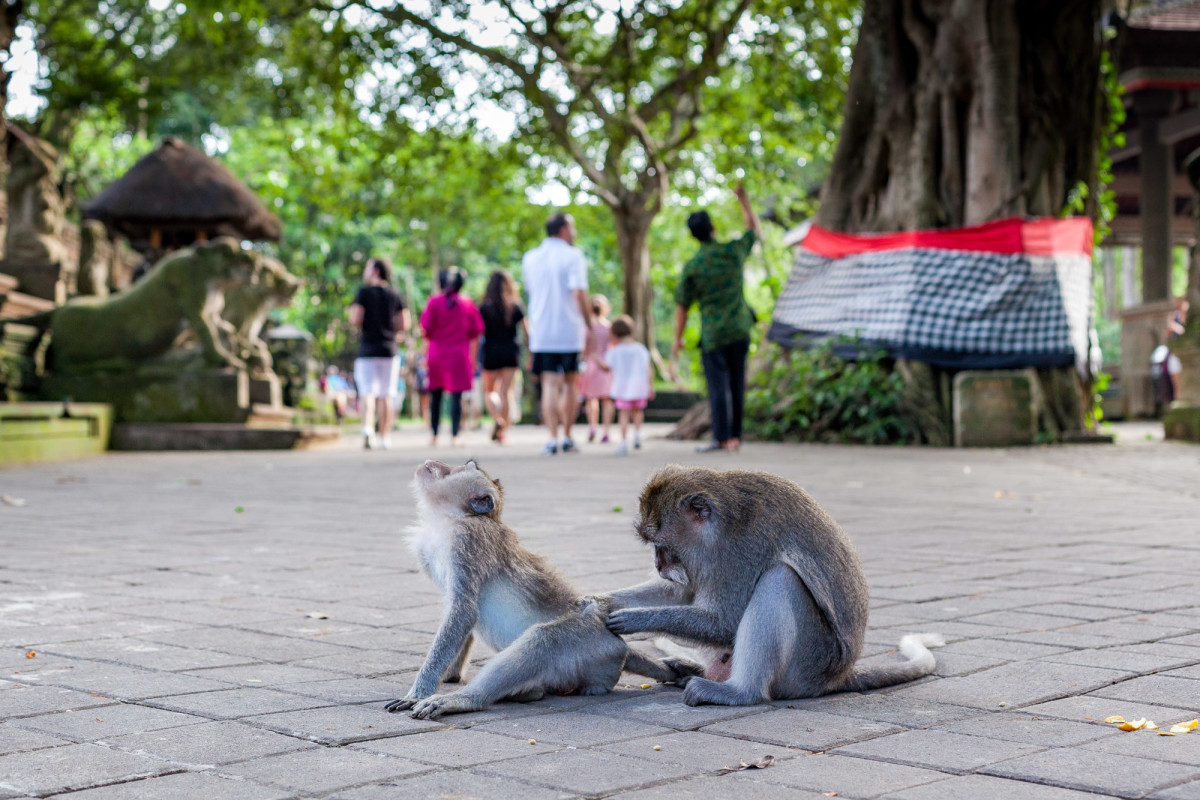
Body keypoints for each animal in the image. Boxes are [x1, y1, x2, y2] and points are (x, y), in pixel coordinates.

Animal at [388, 455, 700, 719]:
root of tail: (614, 638)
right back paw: (526, 692)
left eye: (457, 470)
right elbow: (462, 616)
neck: (449, 518)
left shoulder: (468, 540)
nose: (435, 463)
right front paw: (450, 674)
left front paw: (420, 691)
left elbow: (463, 610)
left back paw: (467, 699)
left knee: (542, 641)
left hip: (592, 647)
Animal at [604, 462, 940, 705]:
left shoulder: (739, 553)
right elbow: (680, 592)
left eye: (662, 544)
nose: (658, 565)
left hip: (808, 667)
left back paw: (739, 692)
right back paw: (694, 670)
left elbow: (725, 623)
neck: (720, 526)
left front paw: (637, 619)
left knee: (781, 578)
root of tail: (839, 675)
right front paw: (602, 600)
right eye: (652, 545)